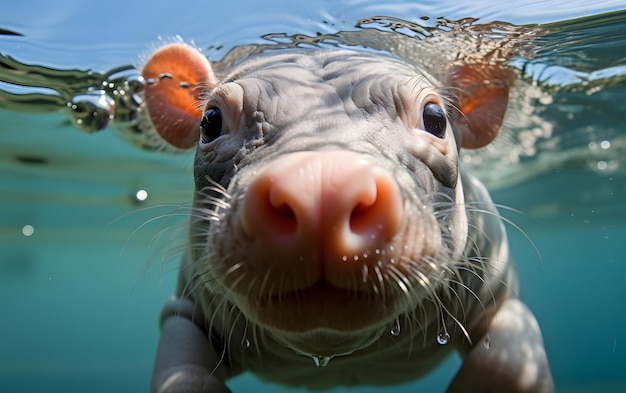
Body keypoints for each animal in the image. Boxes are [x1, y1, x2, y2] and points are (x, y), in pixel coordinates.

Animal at [140, 41, 552, 390]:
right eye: (210, 121)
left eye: (435, 119)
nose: (320, 188)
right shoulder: (187, 306)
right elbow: (183, 376)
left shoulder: (497, 290)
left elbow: (504, 366)